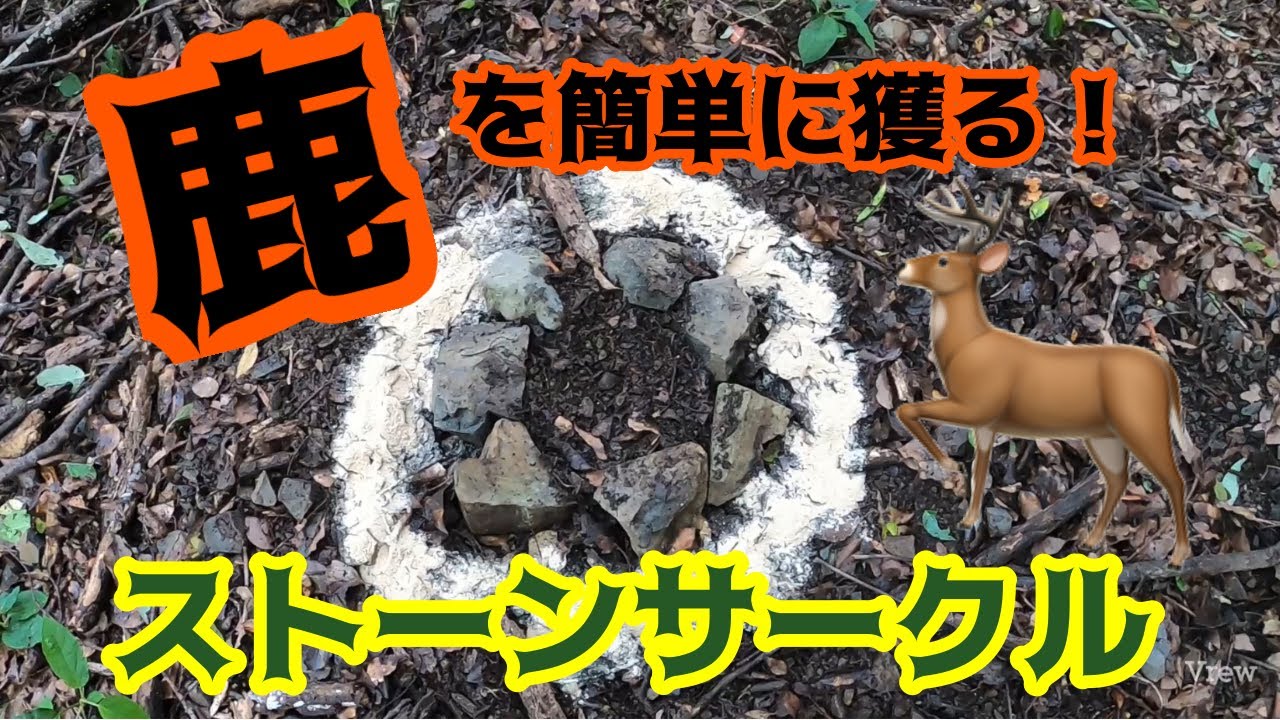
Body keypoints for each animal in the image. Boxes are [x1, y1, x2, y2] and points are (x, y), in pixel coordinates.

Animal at [895, 179, 1193, 566]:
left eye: (944, 260)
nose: (904, 267)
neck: (967, 346)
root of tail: (1166, 370)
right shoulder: (987, 423)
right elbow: (981, 467)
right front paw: (969, 518)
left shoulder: (978, 402)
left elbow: (908, 409)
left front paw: (948, 466)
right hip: (1103, 434)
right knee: (1119, 478)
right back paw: (1090, 540)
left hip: (1140, 420)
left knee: (1174, 478)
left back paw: (1179, 555)